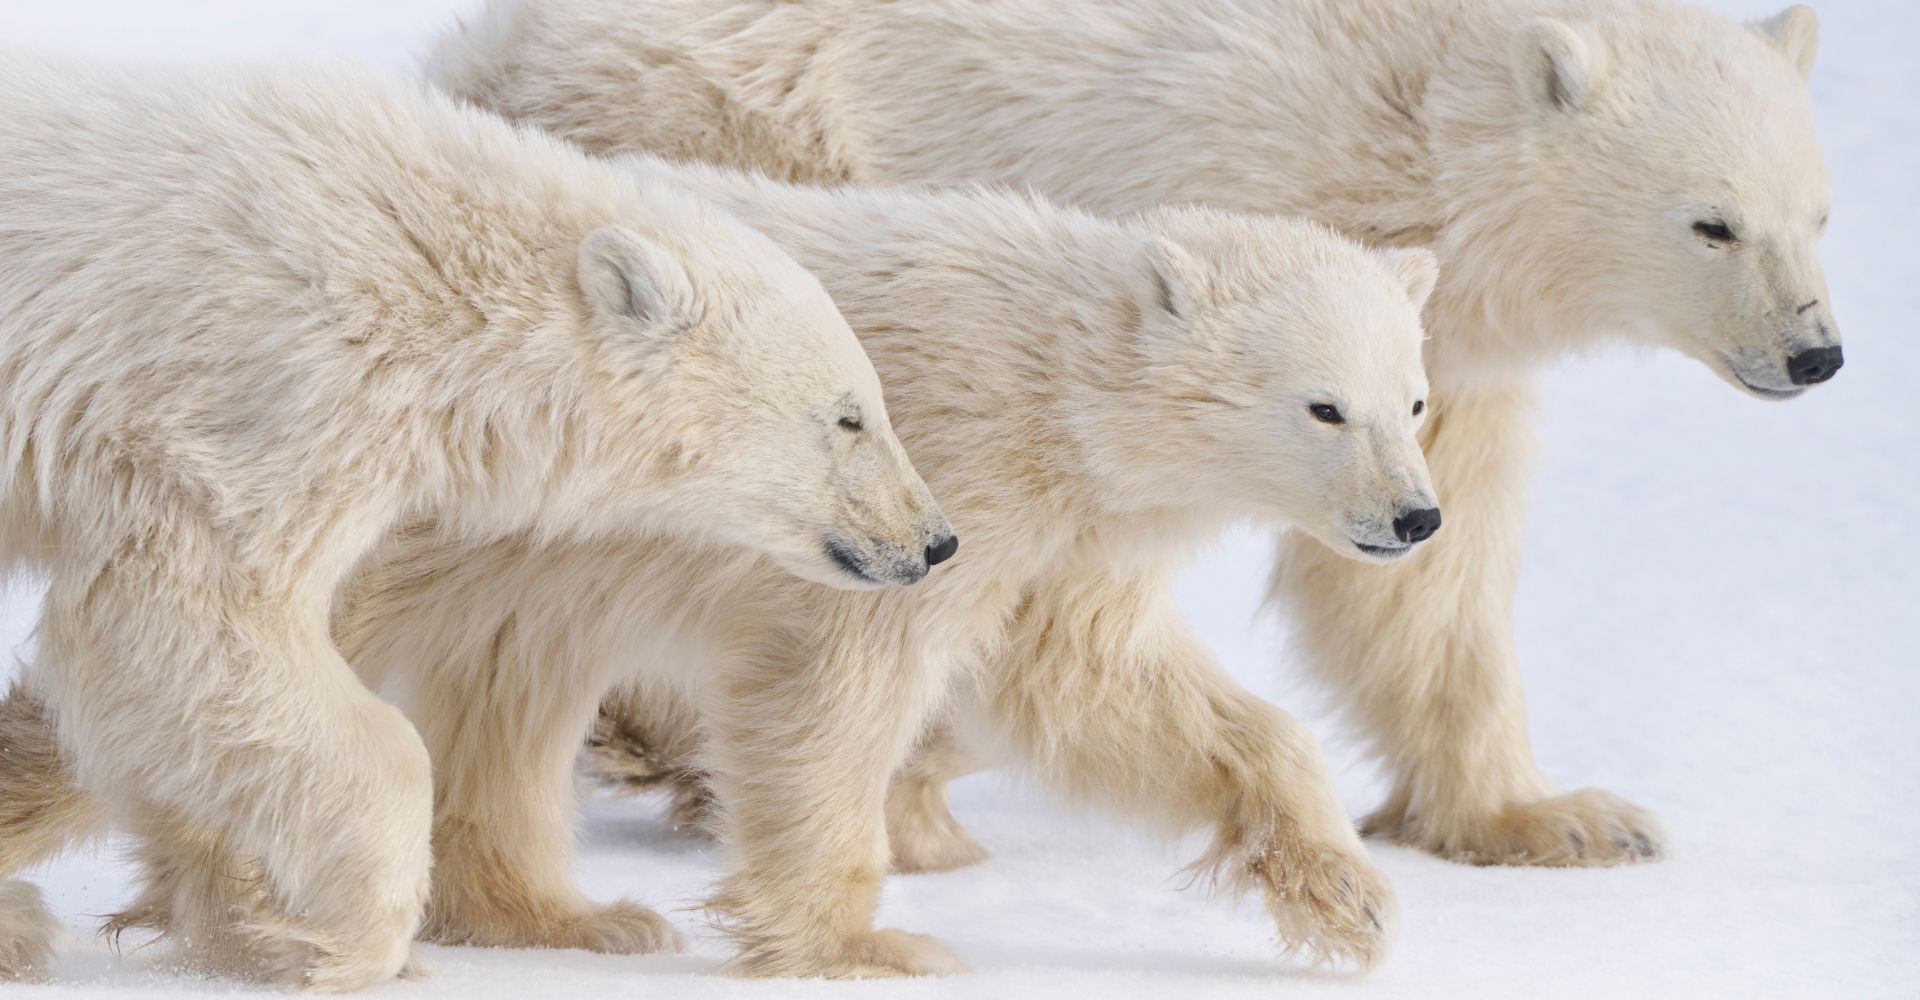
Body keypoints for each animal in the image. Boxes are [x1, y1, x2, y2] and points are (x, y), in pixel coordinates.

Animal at [0, 54, 949, 989]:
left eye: (870, 402)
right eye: (850, 416)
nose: (933, 541)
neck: (422, 267)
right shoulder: (253, 391)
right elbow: (197, 616)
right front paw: (358, 937)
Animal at [0, 164, 1446, 976]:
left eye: (1416, 399)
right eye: (1325, 406)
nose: (1417, 518)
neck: (1047, 385)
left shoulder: (1055, 538)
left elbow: (1100, 689)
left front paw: (1349, 898)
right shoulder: (919, 492)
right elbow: (836, 694)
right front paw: (863, 940)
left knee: (505, 694)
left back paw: (556, 915)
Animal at [424, 0, 1842, 869]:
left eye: (1821, 211)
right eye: (1713, 221)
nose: (1816, 354)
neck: (1405, 109)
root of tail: (486, 52)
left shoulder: (1436, 350)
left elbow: (1425, 579)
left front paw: (1557, 817)